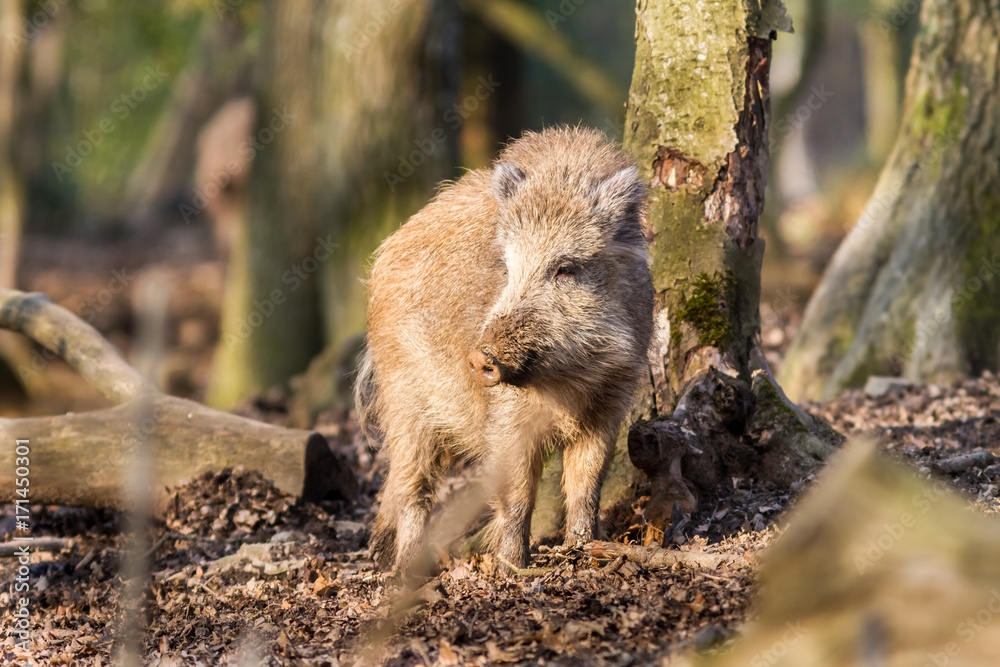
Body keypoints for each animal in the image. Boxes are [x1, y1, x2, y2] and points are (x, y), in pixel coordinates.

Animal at [356, 126, 654, 572]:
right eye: (508, 268)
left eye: (565, 268)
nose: (480, 357)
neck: (570, 379)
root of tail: (384, 253)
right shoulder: (505, 417)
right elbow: (516, 494)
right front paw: (513, 567)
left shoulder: (609, 403)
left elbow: (586, 484)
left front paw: (583, 550)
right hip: (403, 398)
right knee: (412, 486)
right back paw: (403, 570)